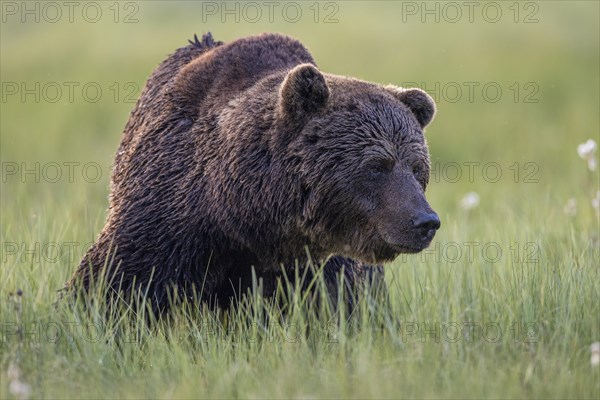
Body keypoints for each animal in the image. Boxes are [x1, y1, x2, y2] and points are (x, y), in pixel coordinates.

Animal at [69, 32, 440, 310]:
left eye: (417, 168)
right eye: (377, 165)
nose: (425, 221)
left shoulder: (323, 264)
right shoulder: (168, 216)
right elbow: (115, 282)